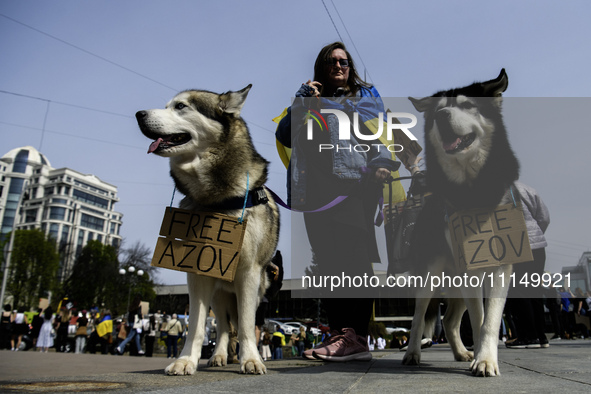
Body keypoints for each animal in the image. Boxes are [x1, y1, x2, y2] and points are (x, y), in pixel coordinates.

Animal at [136, 84, 280, 374]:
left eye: (181, 106)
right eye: (167, 105)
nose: (138, 114)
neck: (218, 201)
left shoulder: (249, 273)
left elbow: (246, 325)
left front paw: (251, 359)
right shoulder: (197, 272)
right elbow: (196, 326)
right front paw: (185, 360)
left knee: (239, 322)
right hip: (219, 295)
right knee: (224, 327)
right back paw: (219, 356)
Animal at [404, 69, 520, 378]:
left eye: (468, 105)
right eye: (438, 110)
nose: (442, 115)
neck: (472, 190)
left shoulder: (500, 264)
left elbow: (490, 320)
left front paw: (484, 358)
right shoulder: (469, 268)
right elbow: (479, 319)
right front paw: (483, 358)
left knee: (450, 321)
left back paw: (460, 352)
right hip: (430, 274)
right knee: (420, 315)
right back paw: (412, 353)